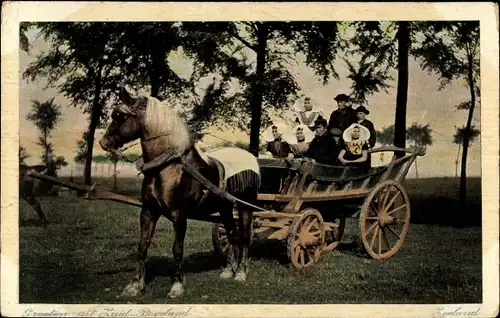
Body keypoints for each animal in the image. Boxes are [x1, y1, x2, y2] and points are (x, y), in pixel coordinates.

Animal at [98, 87, 262, 298]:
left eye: (120, 115)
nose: (103, 142)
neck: (168, 167)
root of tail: (251, 157)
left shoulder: (179, 215)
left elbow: (177, 249)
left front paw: (176, 285)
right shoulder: (148, 212)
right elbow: (142, 247)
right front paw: (134, 285)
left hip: (244, 206)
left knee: (244, 236)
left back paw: (240, 272)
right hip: (225, 207)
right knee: (232, 234)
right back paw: (228, 271)